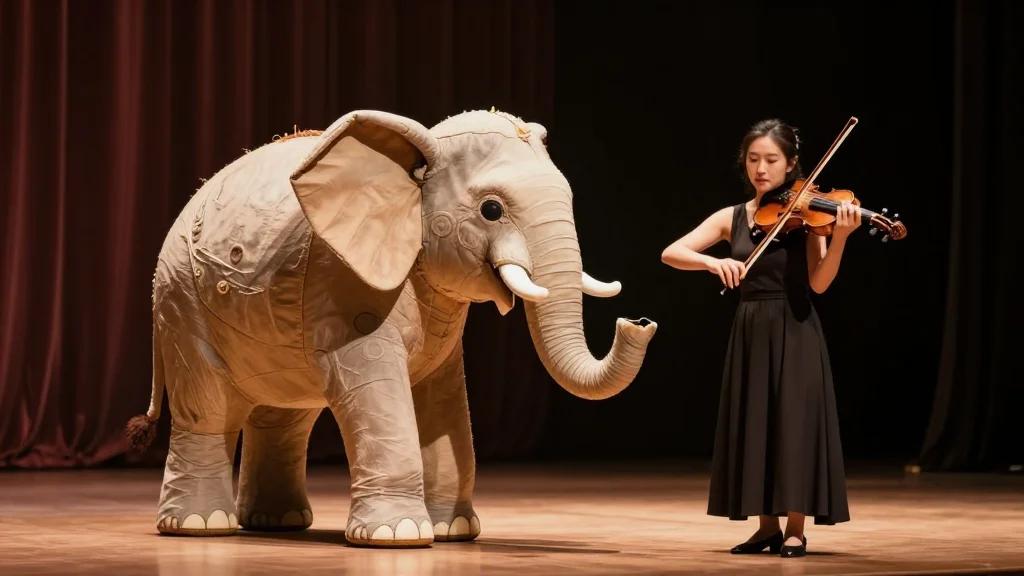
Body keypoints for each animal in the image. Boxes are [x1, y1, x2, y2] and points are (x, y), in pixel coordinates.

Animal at [127, 109, 657, 547]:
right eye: (491, 210)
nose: (639, 322)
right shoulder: (340, 284)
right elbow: (377, 389)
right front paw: (397, 536)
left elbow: (442, 398)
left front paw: (454, 532)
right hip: (180, 299)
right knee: (209, 408)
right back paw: (200, 527)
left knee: (284, 413)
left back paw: (278, 523)